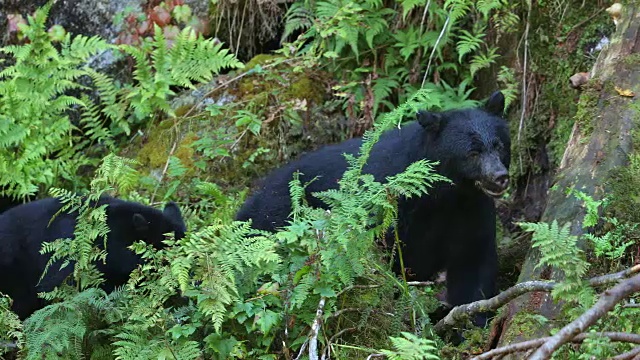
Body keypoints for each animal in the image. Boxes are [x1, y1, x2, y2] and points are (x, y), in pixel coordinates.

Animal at [238, 90, 512, 330]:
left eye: (499, 145)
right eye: (472, 152)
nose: (500, 177)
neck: (445, 196)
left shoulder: (471, 211)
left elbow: (473, 265)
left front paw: (473, 325)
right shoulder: (390, 211)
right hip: (277, 217)